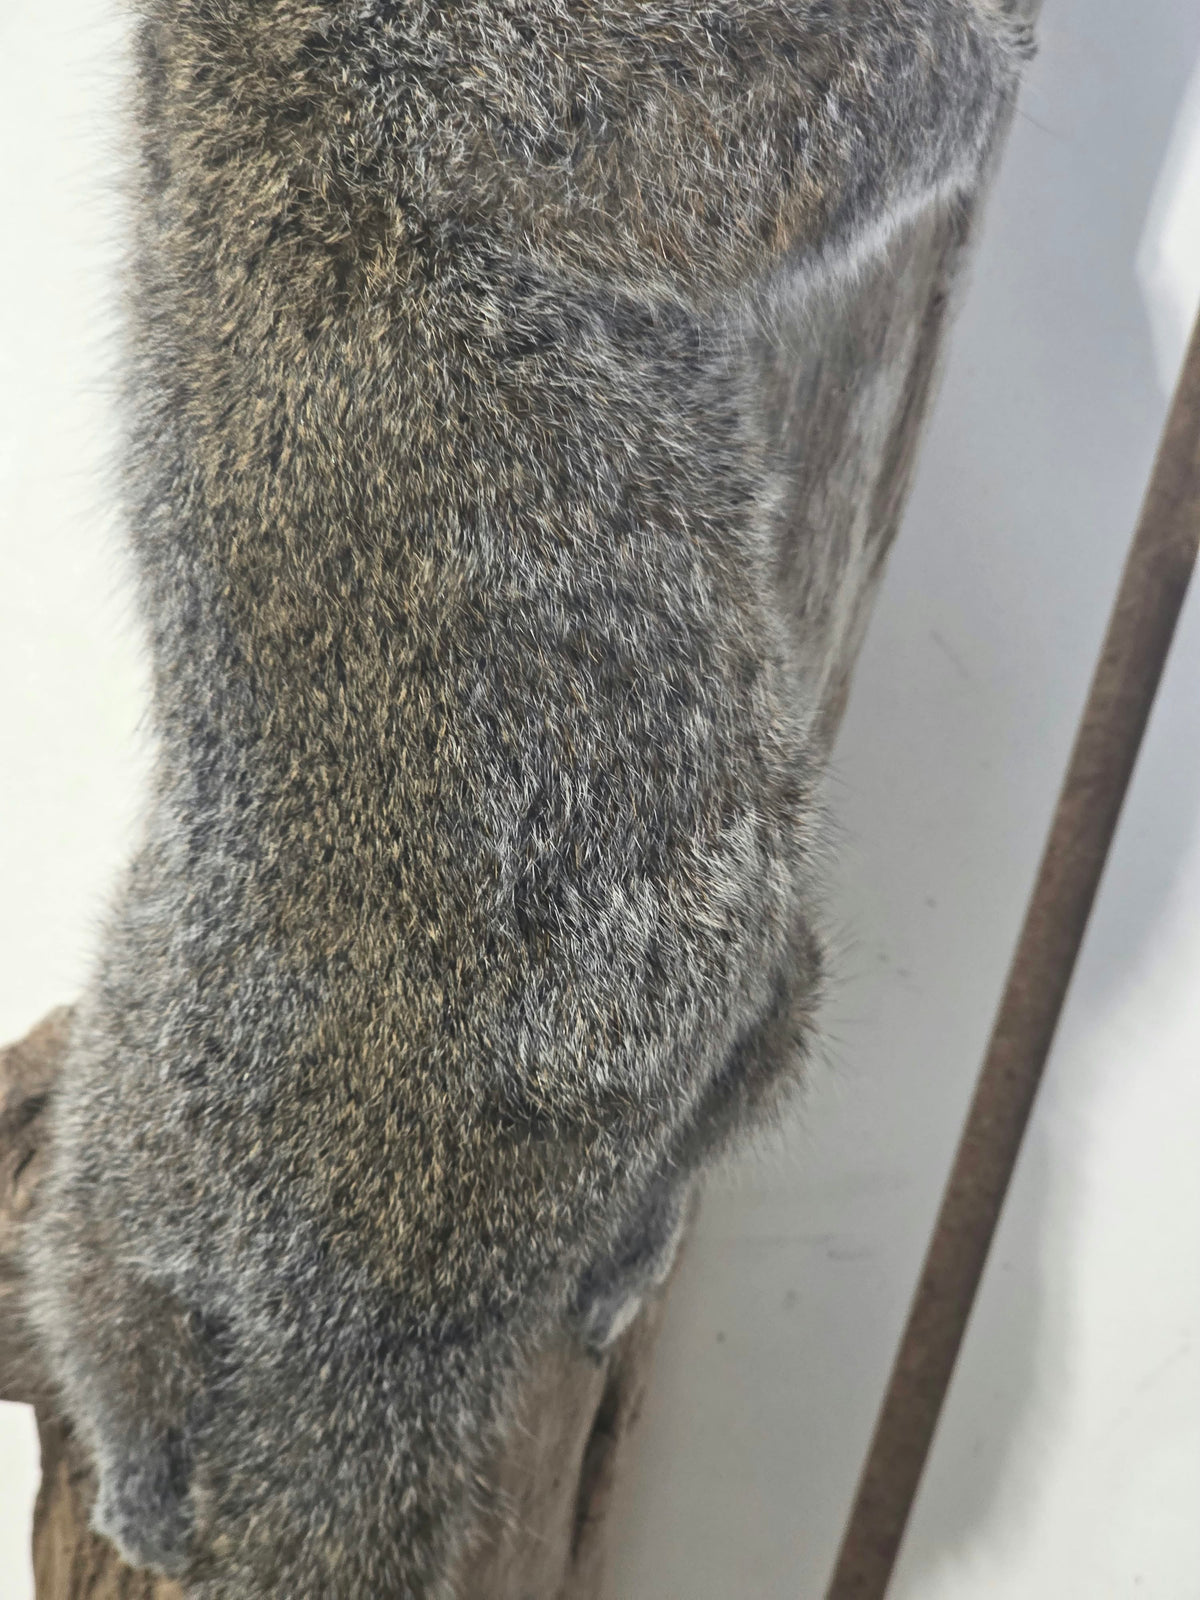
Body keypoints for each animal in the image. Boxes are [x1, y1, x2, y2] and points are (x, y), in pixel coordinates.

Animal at [26, 3, 1031, 1594]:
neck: (222, 68)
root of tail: (366, 1316)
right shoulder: (492, 88)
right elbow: (777, 151)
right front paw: (986, 41)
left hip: (131, 1111)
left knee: (96, 1280)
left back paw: (134, 1438)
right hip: (741, 956)